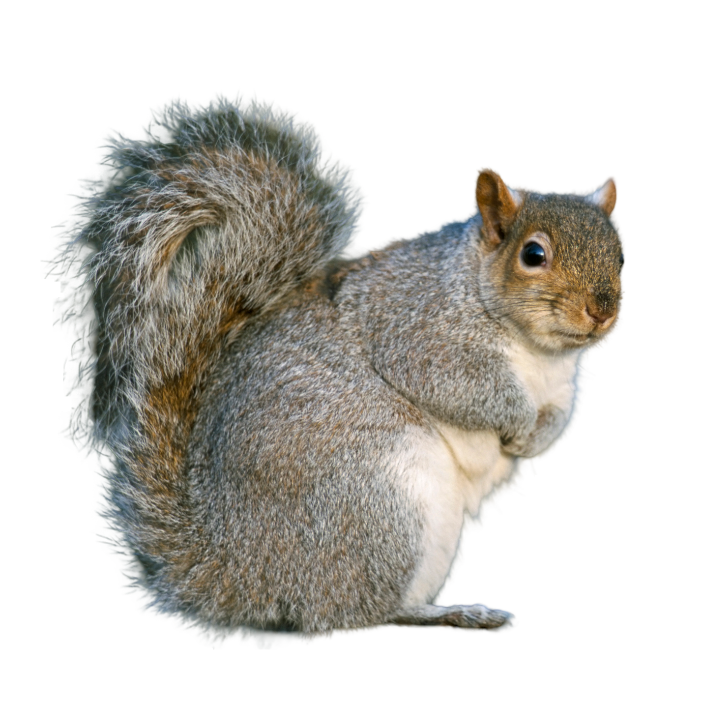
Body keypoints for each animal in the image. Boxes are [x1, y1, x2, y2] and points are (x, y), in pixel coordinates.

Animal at [66, 99, 623, 633]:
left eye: (620, 256)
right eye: (533, 254)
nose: (602, 310)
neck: (538, 354)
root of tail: (237, 572)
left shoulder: (560, 386)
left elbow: (559, 417)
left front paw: (534, 438)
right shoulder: (417, 331)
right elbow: (461, 387)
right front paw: (518, 423)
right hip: (382, 504)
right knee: (357, 610)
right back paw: (449, 612)